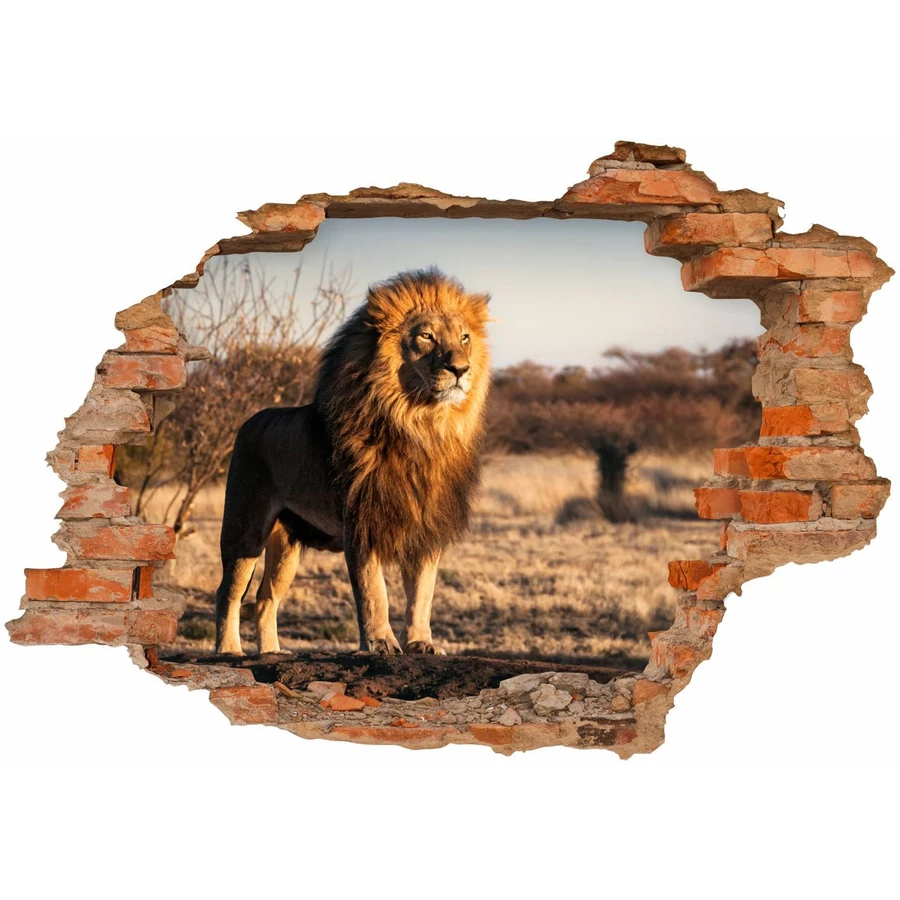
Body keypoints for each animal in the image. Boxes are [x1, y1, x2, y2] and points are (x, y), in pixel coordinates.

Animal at [214, 266, 491, 656]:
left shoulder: (426, 526)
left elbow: (423, 593)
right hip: (245, 530)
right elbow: (374, 591)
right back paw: (228, 651)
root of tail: (250, 421)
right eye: (426, 336)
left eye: (465, 338)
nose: (460, 369)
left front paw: (421, 642)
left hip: (286, 546)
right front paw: (380, 642)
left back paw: (271, 652)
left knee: (266, 599)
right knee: (228, 592)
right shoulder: (361, 521)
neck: (420, 425)